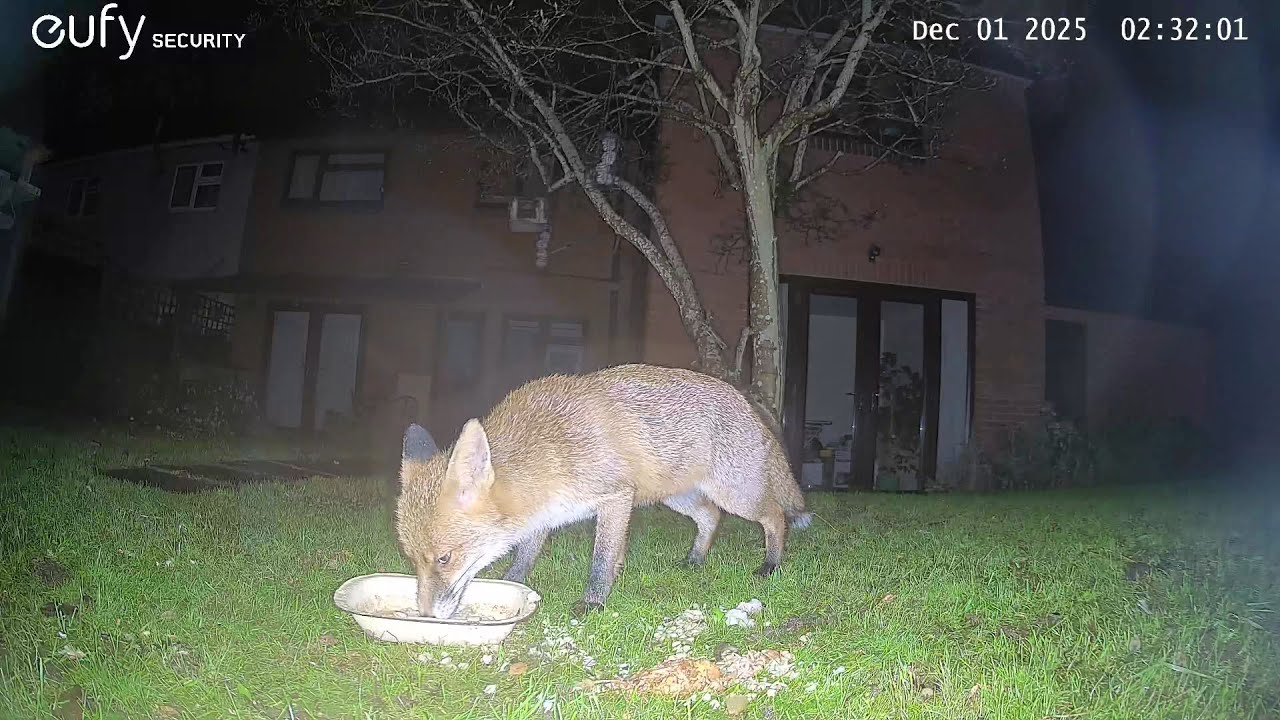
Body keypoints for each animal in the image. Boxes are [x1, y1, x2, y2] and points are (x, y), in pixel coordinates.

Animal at [395, 363, 812, 618]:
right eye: (412, 559)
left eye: (444, 559)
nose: (425, 614)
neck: (548, 452)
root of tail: (747, 402)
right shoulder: (542, 516)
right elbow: (524, 559)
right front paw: (512, 584)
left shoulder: (614, 497)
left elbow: (602, 560)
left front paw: (592, 603)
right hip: (678, 497)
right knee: (711, 516)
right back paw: (695, 559)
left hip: (738, 495)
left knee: (775, 516)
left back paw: (771, 563)